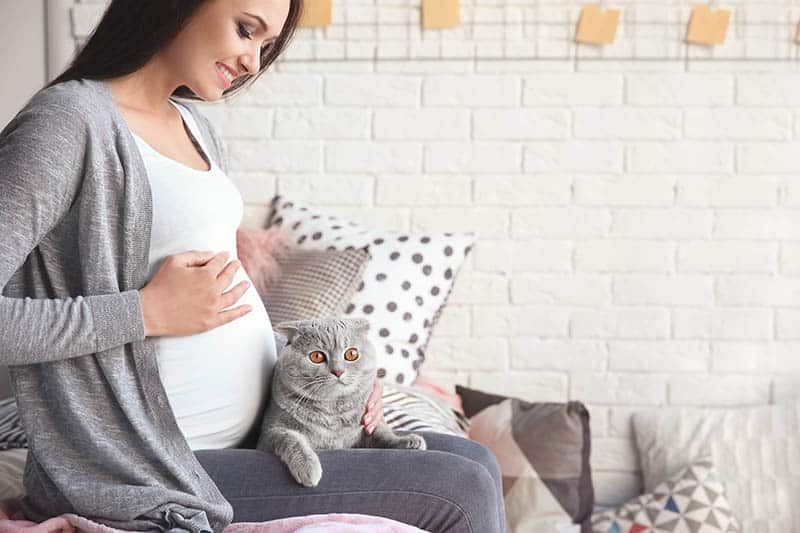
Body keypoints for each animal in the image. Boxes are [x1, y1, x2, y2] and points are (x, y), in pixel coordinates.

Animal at [258, 316, 428, 486]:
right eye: (317, 356)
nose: (338, 371)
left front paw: (408, 440)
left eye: (351, 354)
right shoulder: (269, 434)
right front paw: (308, 468)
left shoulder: (364, 428)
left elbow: (383, 433)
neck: (332, 410)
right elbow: (291, 438)